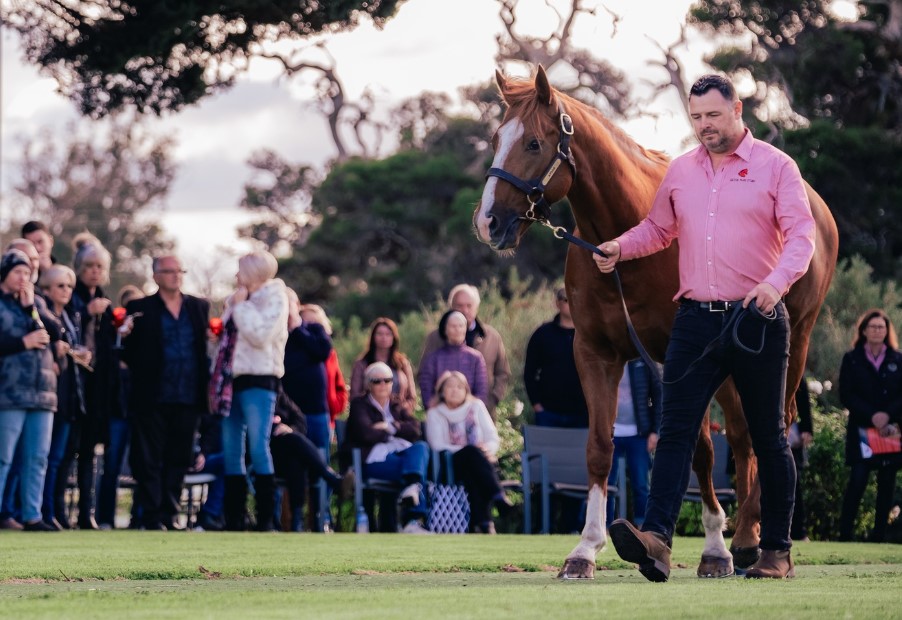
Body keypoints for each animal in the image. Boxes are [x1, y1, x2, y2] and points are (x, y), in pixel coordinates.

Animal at [476, 69, 836, 580]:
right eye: (494, 139)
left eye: (531, 143)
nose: (488, 222)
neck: (624, 237)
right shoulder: (596, 354)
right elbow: (600, 447)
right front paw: (586, 550)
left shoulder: (677, 357)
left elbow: (700, 450)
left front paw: (714, 548)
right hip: (732, 365)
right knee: (744, 437)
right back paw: (748, 536)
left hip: (791, 344)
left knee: (774, 430)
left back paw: (751, 542)